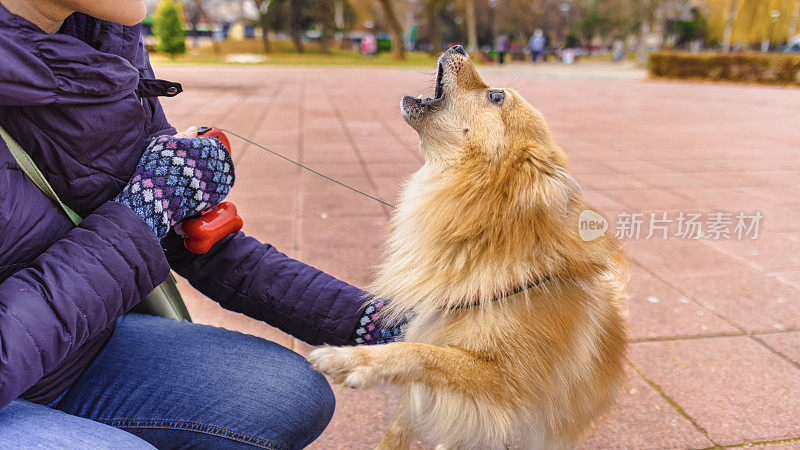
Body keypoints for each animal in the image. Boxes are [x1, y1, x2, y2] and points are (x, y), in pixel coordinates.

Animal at [310, 45, 628, 450]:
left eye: (496, 96)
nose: (459, 47)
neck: (478, 232)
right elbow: (401, 421)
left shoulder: (511, 389)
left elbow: (425, 354)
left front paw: (355, 360)